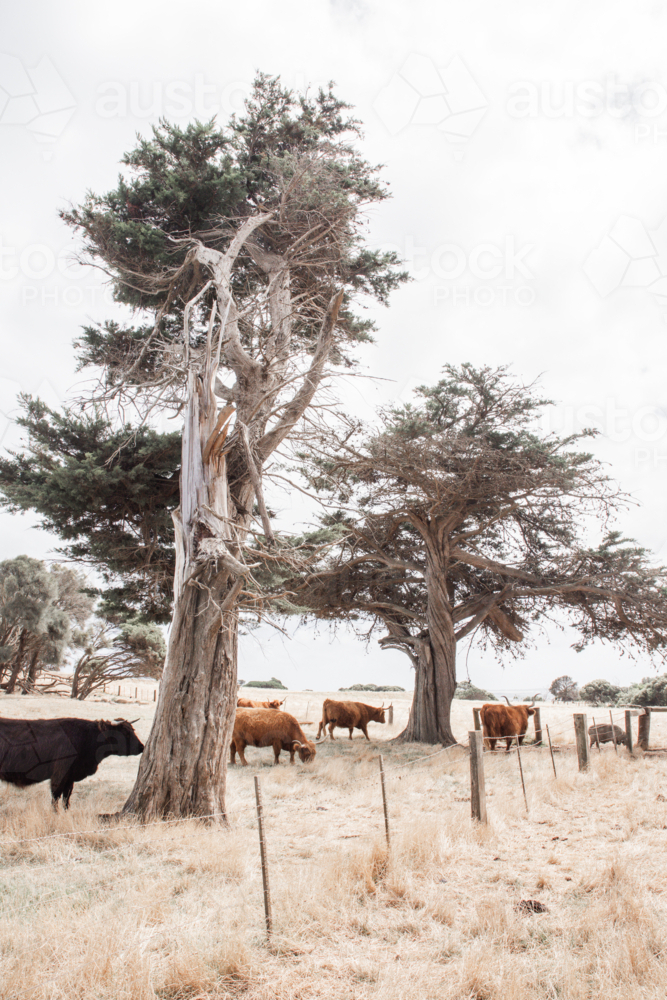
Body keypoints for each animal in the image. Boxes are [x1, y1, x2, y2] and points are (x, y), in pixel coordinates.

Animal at [0, 716, 144, 808]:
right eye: (125, 733)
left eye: (133, 730)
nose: (142, 747)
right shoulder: (59, 775)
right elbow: (56, 797)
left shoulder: (70, 778)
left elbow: (66, 798)